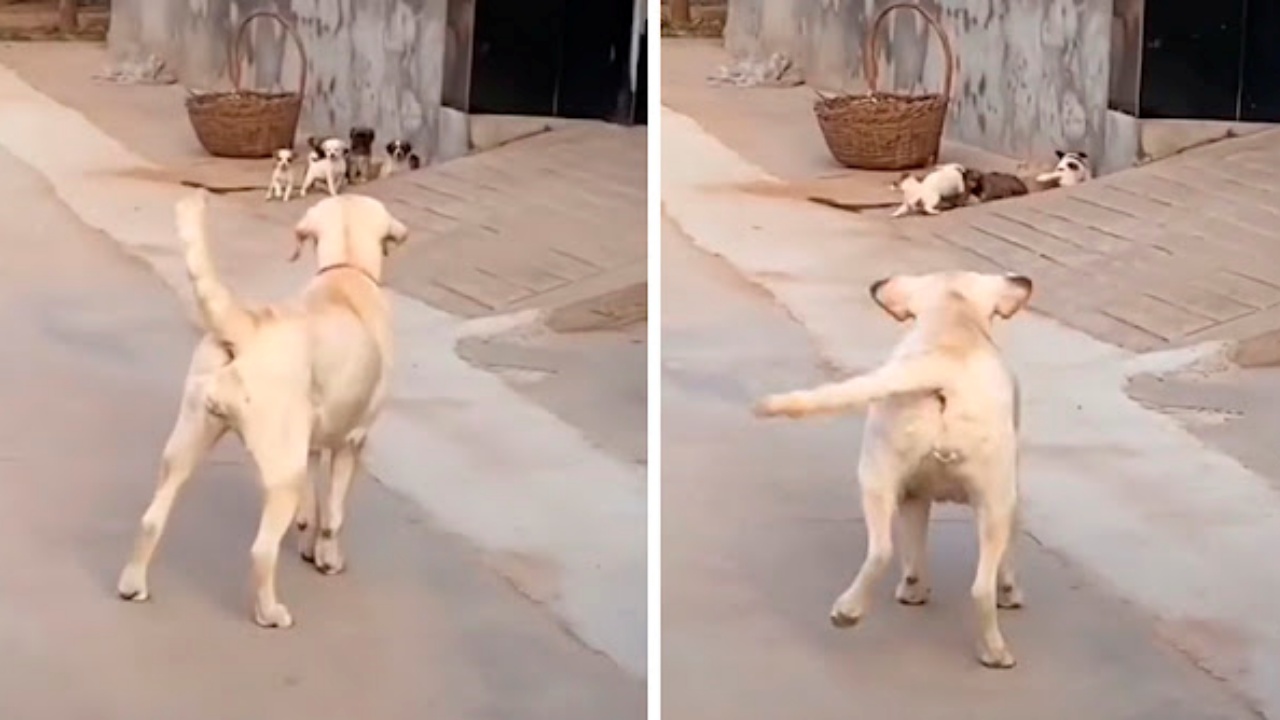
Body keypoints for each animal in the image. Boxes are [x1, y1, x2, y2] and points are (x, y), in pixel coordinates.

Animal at [117, 188, 409, 625]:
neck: (346, 272)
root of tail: (244, 327)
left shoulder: (313, 443)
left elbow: (314, 504)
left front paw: (308, 542)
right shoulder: (352, 441)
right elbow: (334, 514)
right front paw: (328, 558)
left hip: (185, 443)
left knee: (152, 518)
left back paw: (133, 584)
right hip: (281, 470)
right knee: (262, 550)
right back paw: (270, 612)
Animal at [752, 269, 1034, 666]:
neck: (954, 321)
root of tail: (942, 367)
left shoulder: (918, 497)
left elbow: (913, 546)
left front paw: (913, 589)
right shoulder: (1011, 497)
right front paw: (1010, 592)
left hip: (881, 476)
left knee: (888, 552)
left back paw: (853, 610)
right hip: (979, 497)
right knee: (969, 581)